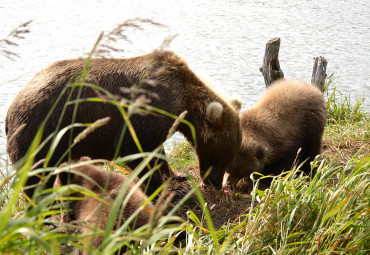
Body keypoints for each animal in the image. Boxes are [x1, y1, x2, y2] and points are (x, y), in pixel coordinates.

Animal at [7, 50, 241, 196]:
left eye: (229, 157)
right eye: (223, 157)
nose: (215, 184)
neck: (183, 101)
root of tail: (10, 111)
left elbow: (157, 152)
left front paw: (175, 176)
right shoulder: (147, 108)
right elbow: (135, 149)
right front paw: (168, 190)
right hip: (42, 132)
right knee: (36, 179)